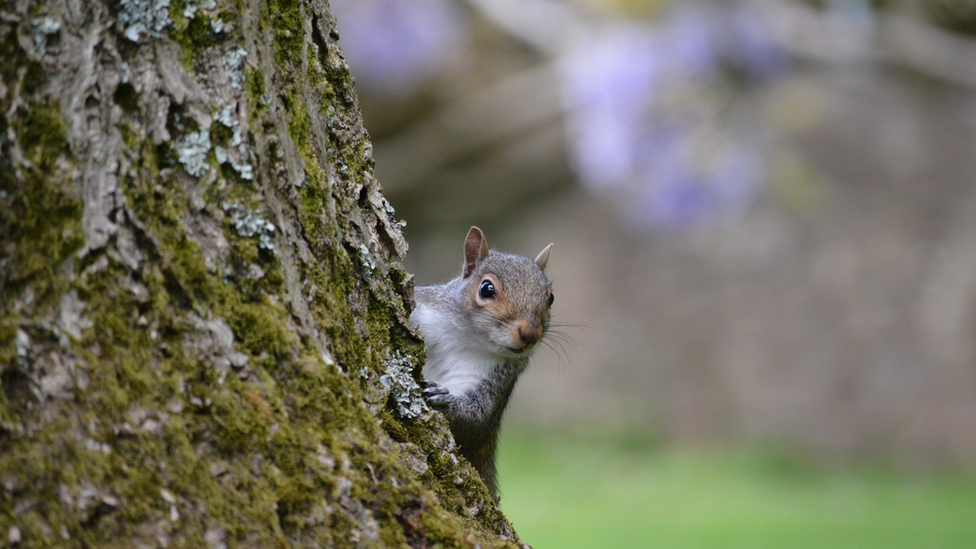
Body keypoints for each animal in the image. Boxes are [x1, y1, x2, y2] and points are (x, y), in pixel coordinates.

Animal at [408, 225, 552, 494]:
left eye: (551, 298)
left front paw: (443, 400)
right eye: (486, 289)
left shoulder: (498, 377)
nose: (530, 334)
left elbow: (477, 420)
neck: (469, 338)